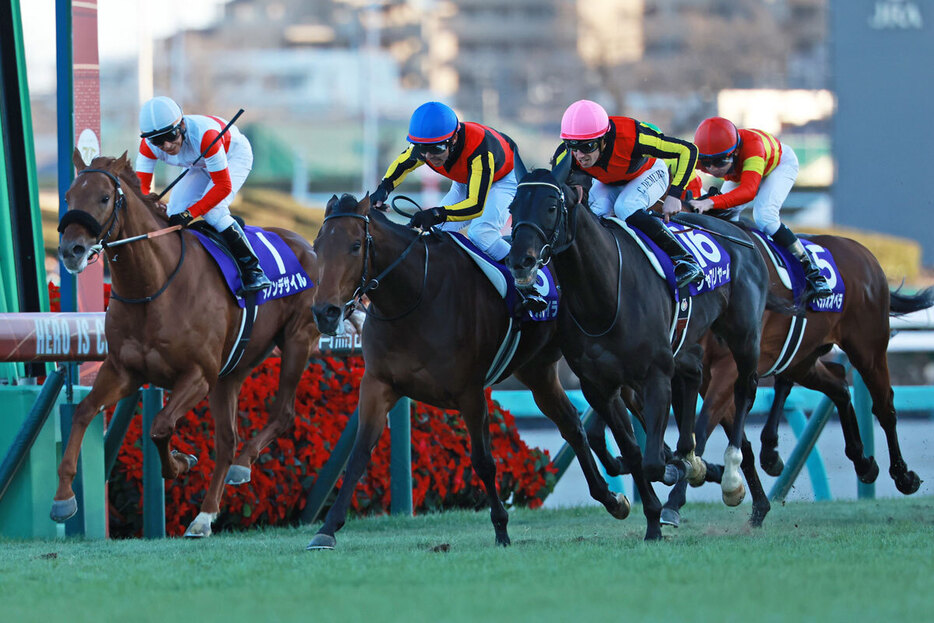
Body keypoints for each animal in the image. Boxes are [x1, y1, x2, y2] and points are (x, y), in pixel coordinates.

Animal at [54, 151, 328, 536]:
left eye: (105, 198)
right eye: (68, 197)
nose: (71, 250)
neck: (154, 287)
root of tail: (307, 245)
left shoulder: (198, 376)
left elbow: (160, 426)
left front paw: (180, 462)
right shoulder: (123, 370)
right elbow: (82, 412)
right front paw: (63, 499)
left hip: (297, 341)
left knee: (282, 414)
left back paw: (242, 467)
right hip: (231, 372)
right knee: (227, 440)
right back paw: (205, 515)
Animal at [310, 194, 632, 544]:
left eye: (355, 246)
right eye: (316, 245)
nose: (325, 312)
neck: (416, 297)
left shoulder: (471, 393)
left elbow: (484, 462)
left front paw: (501, 529)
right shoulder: (377, 384)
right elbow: (358, 455)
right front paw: (327, 529)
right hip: (538, 371)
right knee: (572, 424)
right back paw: (612, 497)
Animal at [508, 162, 772, 520]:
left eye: (550, 207)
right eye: (512, 207)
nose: (519, 260)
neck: (603, 296)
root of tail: (739, 230)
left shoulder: (654, 375)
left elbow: (652, 462)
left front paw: (679, 470)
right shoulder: (599, 385)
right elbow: (633, 452)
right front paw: (656, 503)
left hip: (743, 334)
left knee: (745, 387)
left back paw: (730, 477)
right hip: (689, 341)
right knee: (694, 376)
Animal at [660, 233, 932, 528]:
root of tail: (862, 251)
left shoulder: (728, 367)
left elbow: (701, 430)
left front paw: (675, 502)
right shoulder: (705, 374)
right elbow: (734, 437)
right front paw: (755, 502)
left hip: (867, 348)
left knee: (883, 406)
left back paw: (903, 476)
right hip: (804, 358)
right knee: (838, 382)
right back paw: (861, 461)